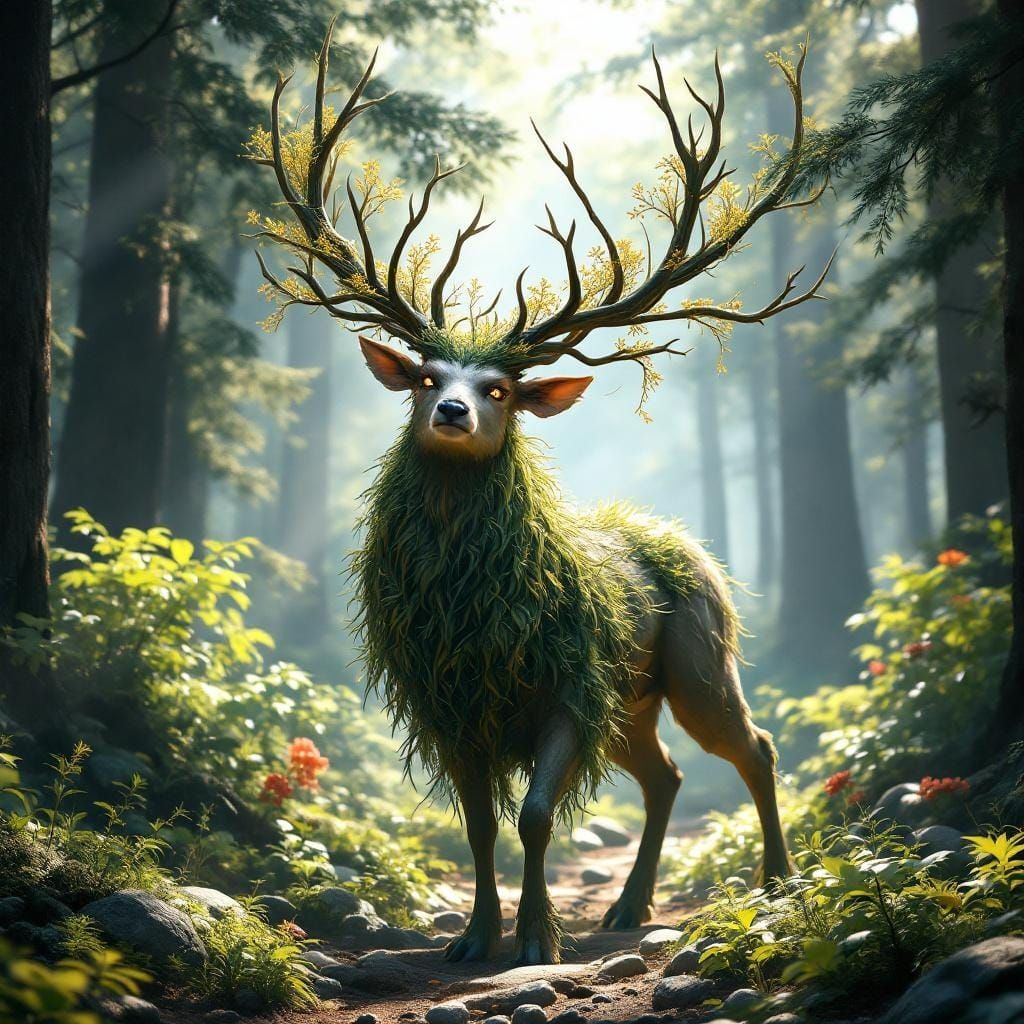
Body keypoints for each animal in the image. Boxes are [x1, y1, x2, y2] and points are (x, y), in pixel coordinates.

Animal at [247, 22, 830, 966]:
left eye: (500, 390)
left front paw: (536, 939)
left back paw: (779, 879)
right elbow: (480, 826)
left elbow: (535, 815)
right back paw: (629, 906)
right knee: (666, 776)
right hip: (626, 706)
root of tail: (690, 546)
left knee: (755, 746)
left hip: (696, 665)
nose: (450, 410)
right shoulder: (450, 706)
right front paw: (475, 938)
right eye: (425, 377)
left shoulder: (563, 688)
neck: (472, 612)